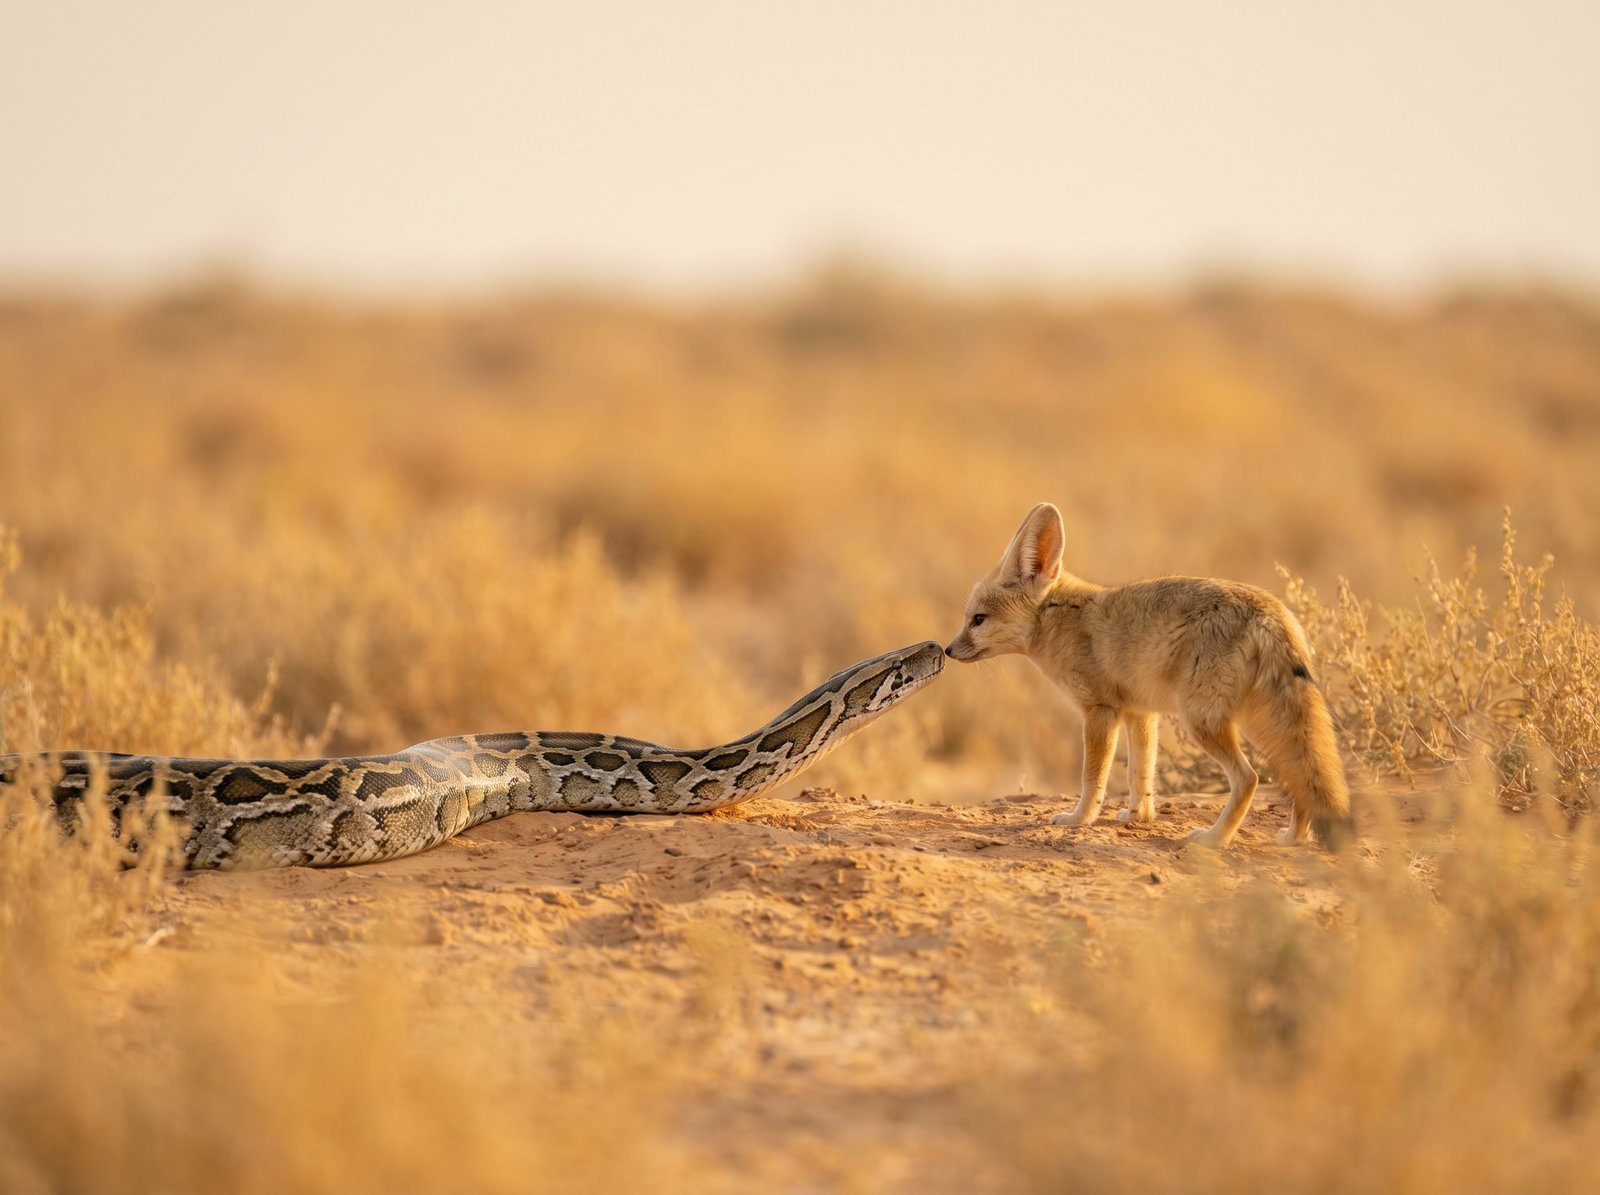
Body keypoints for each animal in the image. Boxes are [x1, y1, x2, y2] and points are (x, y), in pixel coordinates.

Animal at [944, 502, 1353, 850]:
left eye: (978, 620)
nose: (947, 650)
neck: (1059, 617)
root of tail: (1271, 612)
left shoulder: (1100, 711)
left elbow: (1093, 778)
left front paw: (1079, 820)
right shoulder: (1140, 713)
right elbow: (1140, 773)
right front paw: (1137, 815)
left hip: (1204, 723)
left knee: (1249, 778)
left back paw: (1214, 839)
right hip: (1255, 722)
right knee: (1299, 778)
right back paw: (1294, 838)